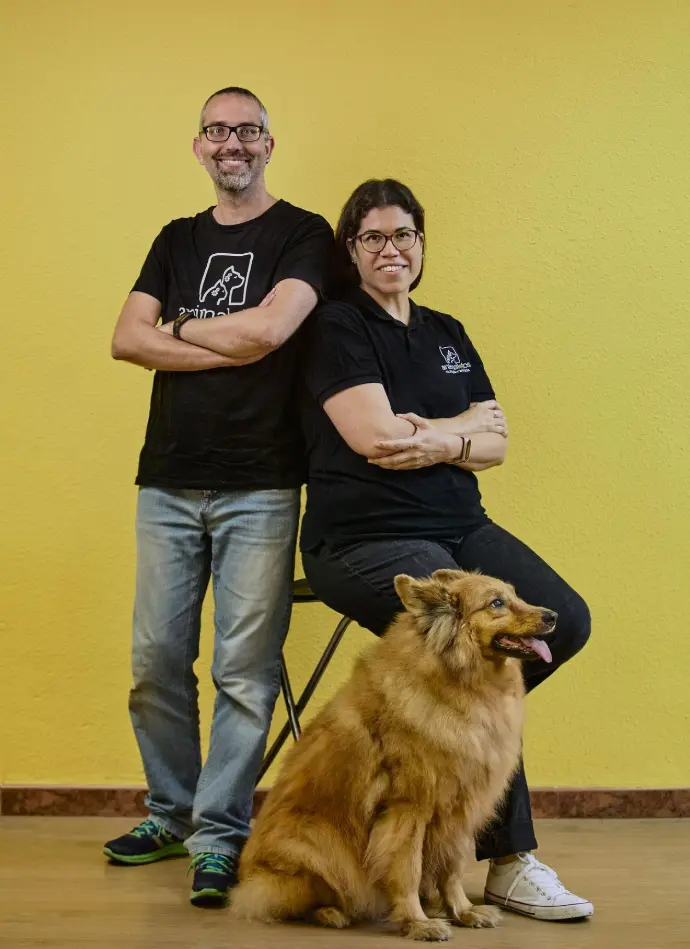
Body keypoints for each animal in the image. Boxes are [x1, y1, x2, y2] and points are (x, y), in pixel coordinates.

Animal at [232, 569, 556, 941]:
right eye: (497, 603)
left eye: (515, 595)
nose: (553, 616)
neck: (457, 680)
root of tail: (247, 877)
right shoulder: (407, 810)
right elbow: (407, 871)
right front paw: (418, 923)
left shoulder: (459, 811)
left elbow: (452, 868)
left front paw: (463, 912)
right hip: (314, 844)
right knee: (298, 899)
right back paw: (332, 913)